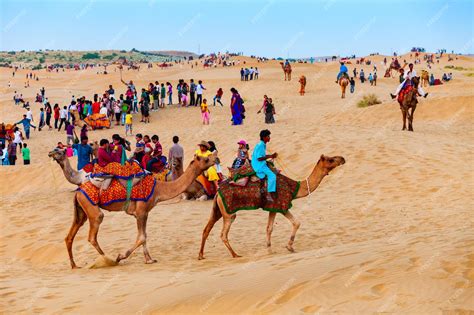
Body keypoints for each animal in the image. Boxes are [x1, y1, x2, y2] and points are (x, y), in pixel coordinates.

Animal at [65, 154, 217, 268]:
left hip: (81, 210)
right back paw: (109, 260)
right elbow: (142, 237)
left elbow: (144, 236)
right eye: (205, 159)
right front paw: (120, 256)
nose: (215, 158)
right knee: (93, 233)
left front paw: (149, 259)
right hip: (92, 209)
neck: (158, 189)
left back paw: (74, 265)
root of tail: (78, 191)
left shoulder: (144, 213)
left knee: (70, 235)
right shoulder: (141, 212)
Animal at [198, 154, 346, 260]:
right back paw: (235, 255)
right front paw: (289, 247)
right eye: (331, 159)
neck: (295, 188)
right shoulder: (281, 204)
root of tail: (217, 192)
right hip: (229, 212)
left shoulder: (273, 207)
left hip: (217, 210)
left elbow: (269, 228)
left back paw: (201, 255)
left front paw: (270, 249)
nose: (342, 159)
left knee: (206, 229)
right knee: (223, 234)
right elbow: (296, 223)